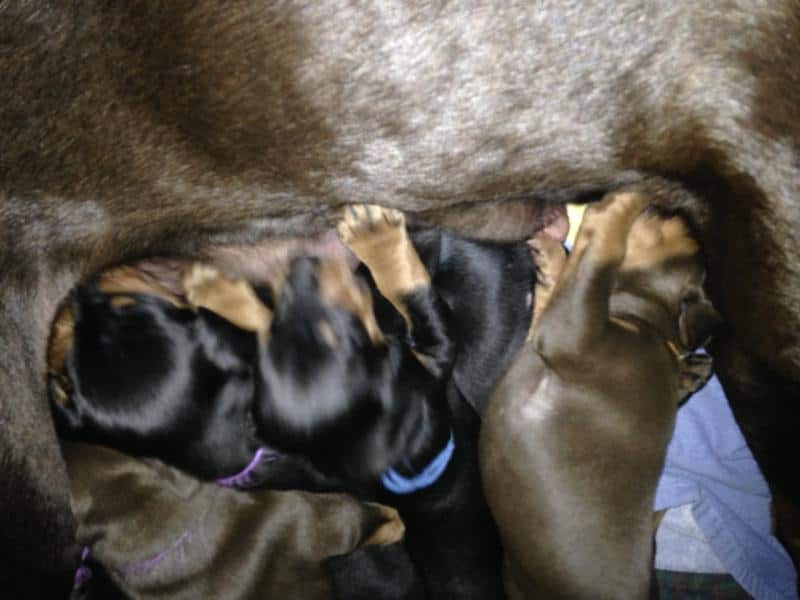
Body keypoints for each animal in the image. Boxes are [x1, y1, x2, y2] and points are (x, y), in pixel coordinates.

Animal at [482, 192, 720, 600]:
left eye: (675, 226)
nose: (666, 201)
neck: (643, 319)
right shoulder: (550, 328)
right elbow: (568, 275)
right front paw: (550, 254)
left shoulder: (569, 334)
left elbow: (597, 258)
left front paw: (619, 204)